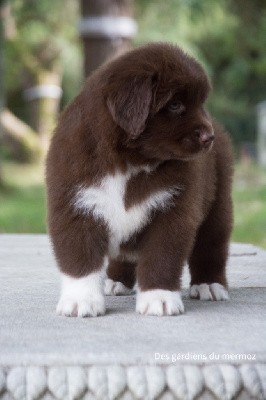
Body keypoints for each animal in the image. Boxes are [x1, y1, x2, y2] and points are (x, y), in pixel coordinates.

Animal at [45, 42, 233, 318]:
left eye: (201, 103)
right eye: (175, 105)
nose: (208, 137)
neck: (129, 162)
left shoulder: (173, 210)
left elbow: (162, 256)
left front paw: (159, 298)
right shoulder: (76, 204)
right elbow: (80, 259)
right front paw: (81, 300)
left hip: (218, 203)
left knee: (211, 245)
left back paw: (209, 284)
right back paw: (116, 281)